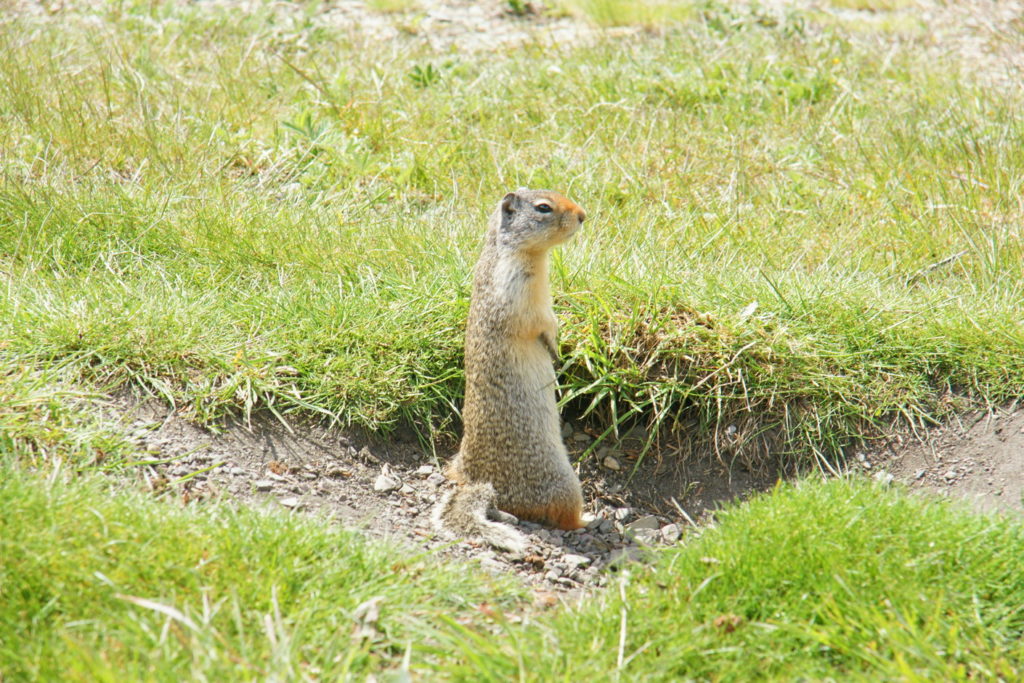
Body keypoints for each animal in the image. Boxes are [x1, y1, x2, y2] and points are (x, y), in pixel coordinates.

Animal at [432, 188, 589, 557]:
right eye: (544, 208)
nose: (582, 215)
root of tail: (482, 482)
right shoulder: (520, 294)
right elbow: (542, 323)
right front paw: (555, 347)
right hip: (563, 483)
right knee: (564, 516)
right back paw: (587, 518)